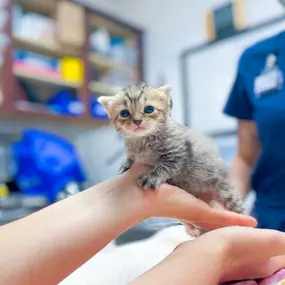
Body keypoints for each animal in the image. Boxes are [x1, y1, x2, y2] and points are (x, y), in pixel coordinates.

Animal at [97, 83, 242, 230]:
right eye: (124, 113)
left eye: (149, 109)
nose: (137, 121)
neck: (143, 140)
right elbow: (130, 157)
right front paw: (125, 165)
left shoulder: (177, 152)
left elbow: (165, 166)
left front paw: (152, 177)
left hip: (225, 190)